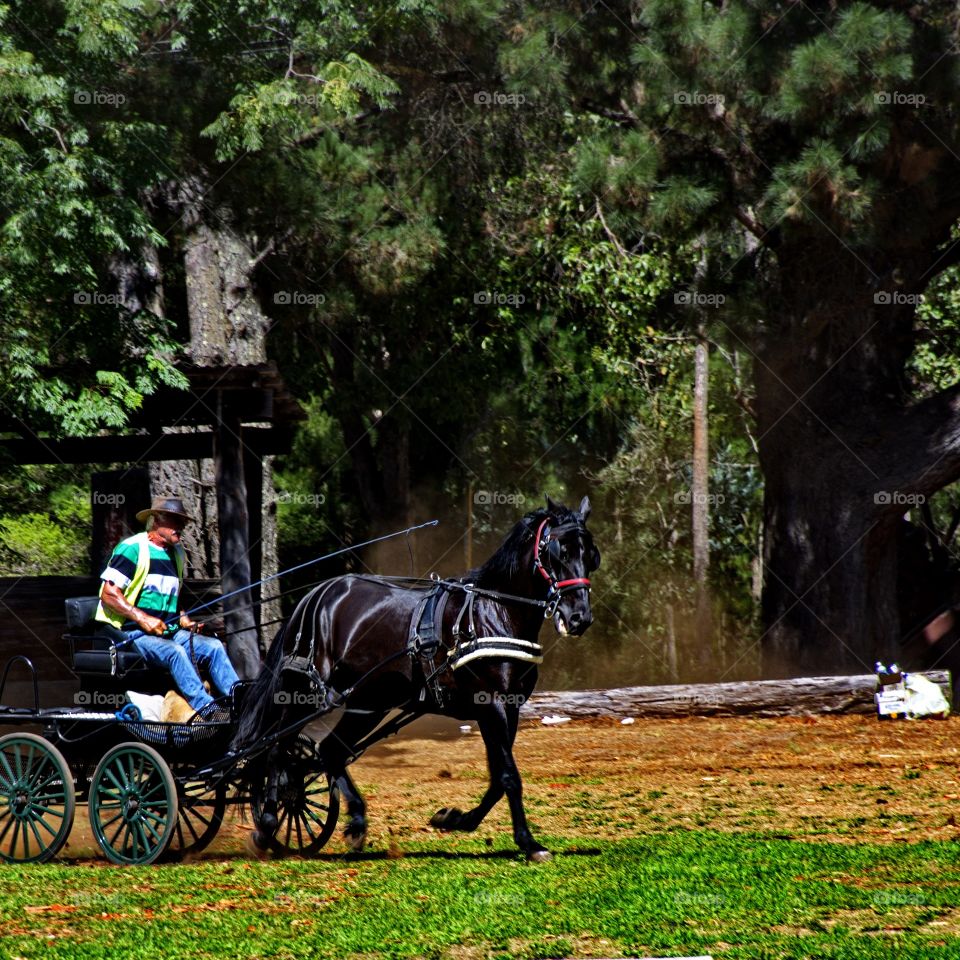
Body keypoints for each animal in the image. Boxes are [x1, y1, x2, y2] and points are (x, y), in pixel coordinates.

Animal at [232, 496, 596, 864]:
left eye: (590, 555)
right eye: (558, 553)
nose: (579, 618)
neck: (494, 611)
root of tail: (314, 596)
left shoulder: (508, 708)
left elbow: (497, 776)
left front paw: (455, 819)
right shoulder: (490, 703)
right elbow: (509, 776)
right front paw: (528, 842)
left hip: (369, 702)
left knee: (329, 751)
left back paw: (355, 822)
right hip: (305, 694)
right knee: (277, 749)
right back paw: (266, 826)